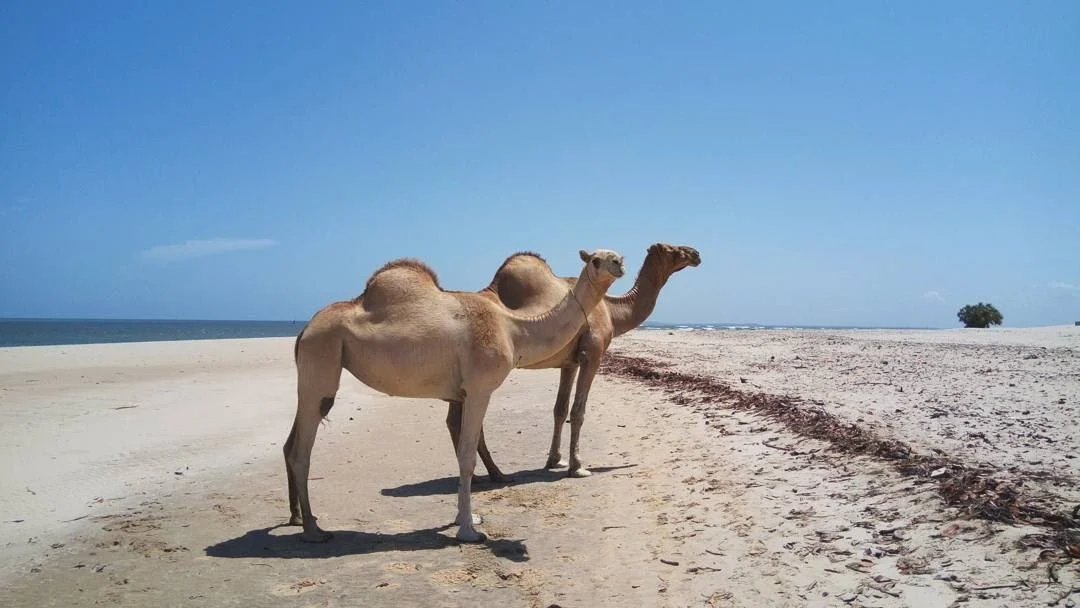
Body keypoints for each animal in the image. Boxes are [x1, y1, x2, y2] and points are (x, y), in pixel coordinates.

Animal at [285, 249, 625, 543]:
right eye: (596, 259)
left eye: (615, 255)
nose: (619, 263)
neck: (513, 329)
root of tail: (304, 330)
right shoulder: (479, 389)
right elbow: (466, 456)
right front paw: (469, 531)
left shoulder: (464, 392)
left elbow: (464, 450)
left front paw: (469, 518)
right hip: (322, 356)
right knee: (303, 449)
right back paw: (313, 531)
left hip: (314, 368)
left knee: (292, 443)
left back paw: (301, 519)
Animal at [446, 243, 700, 480]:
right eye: (671, 249)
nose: (696, 253)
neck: (611, 311)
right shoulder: (592, 354)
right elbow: (578, 411)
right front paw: (577, 466)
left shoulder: (570, 363)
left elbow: (560, 409)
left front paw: (554, 460)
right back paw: (493, 474)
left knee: (454, 420)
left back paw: (484, 475)